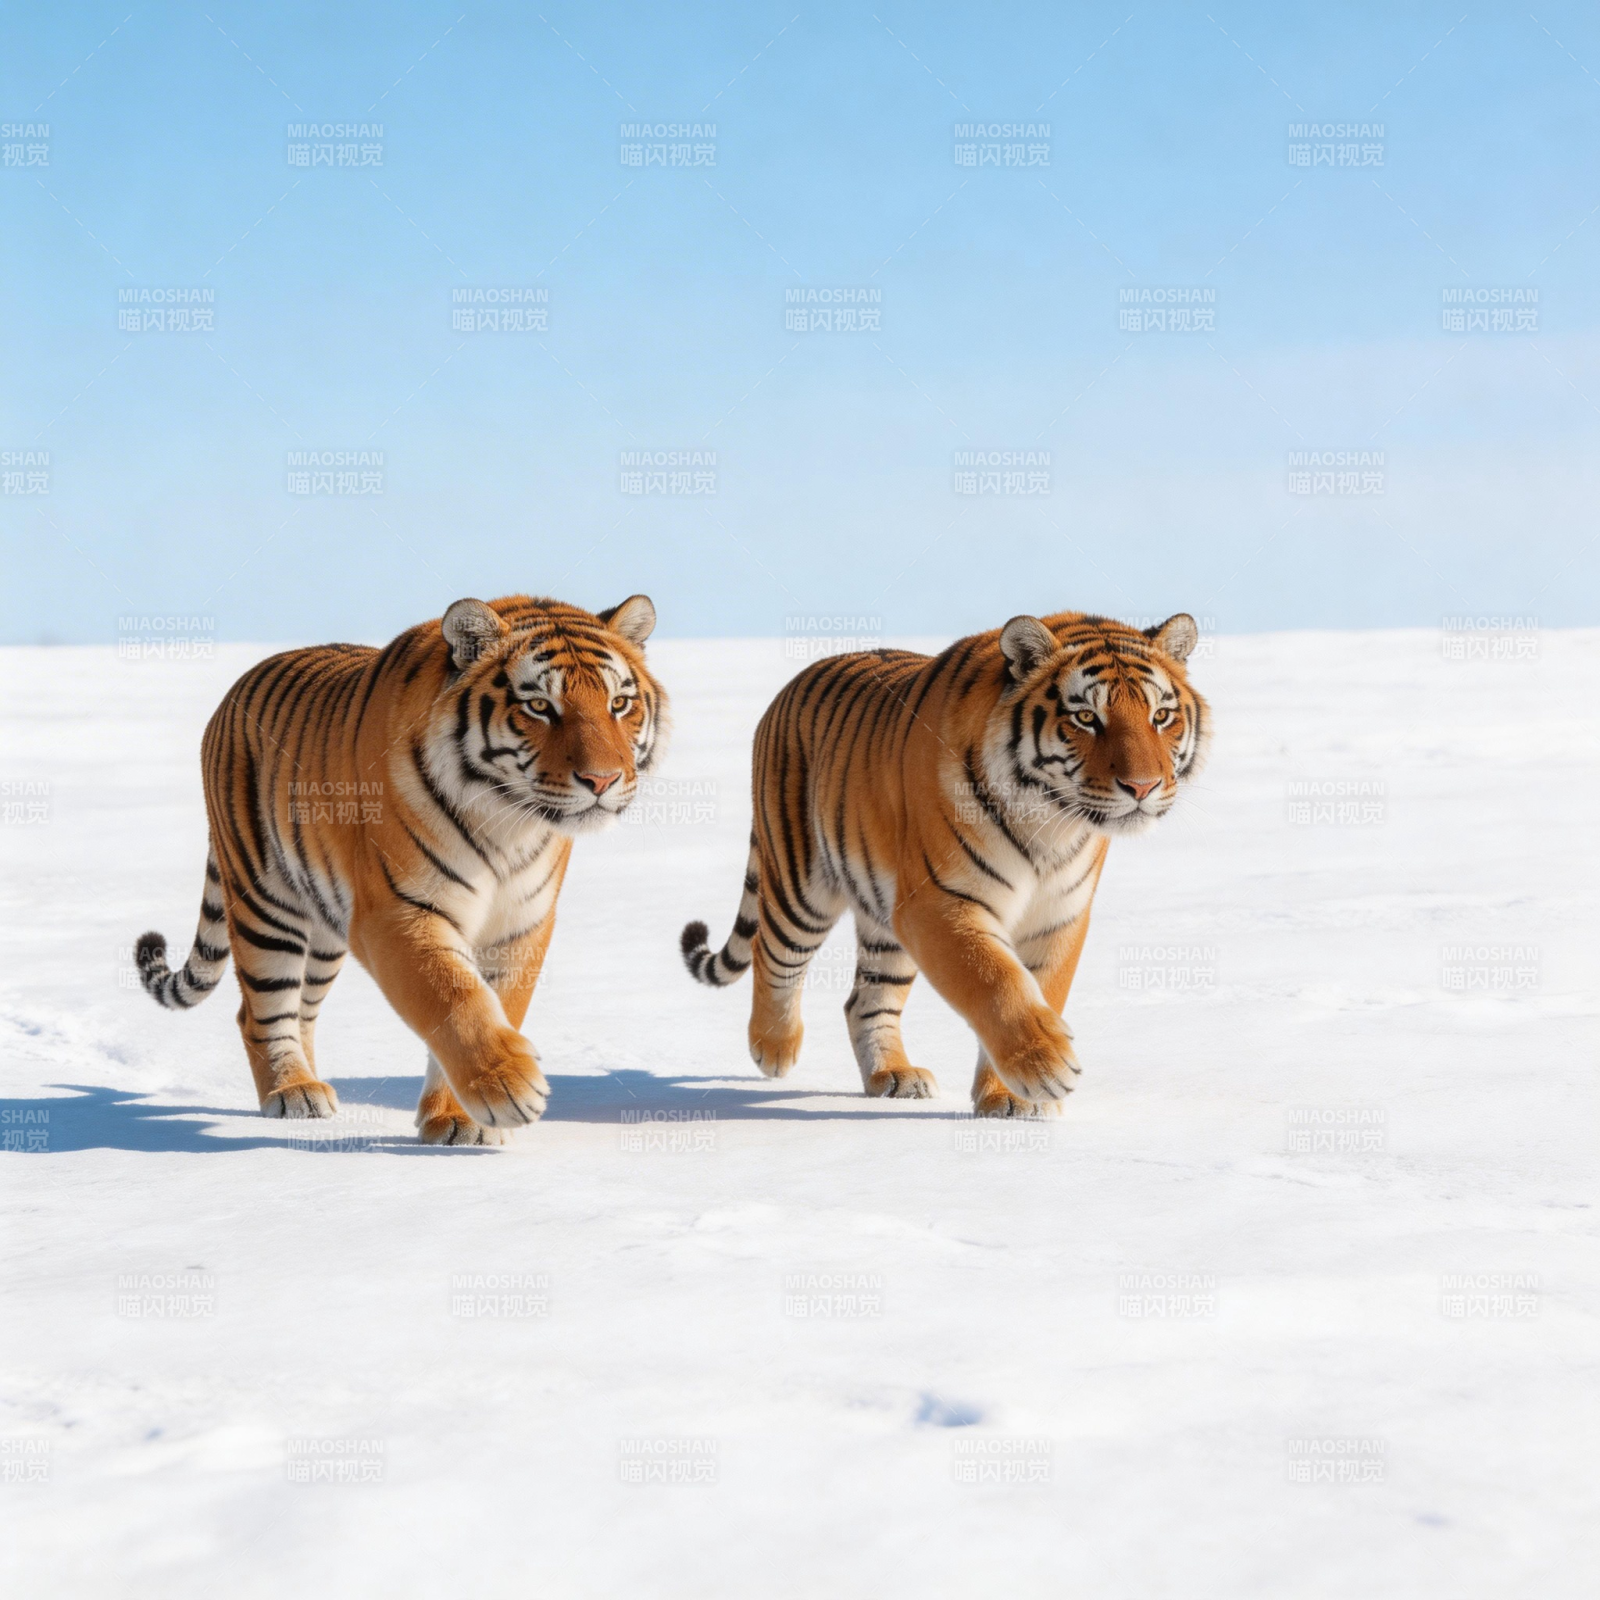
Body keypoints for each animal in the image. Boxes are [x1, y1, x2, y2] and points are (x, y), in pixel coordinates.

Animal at [136, 593, 668, 1145]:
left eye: (618, 704)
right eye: (539, 706)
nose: (602, 780)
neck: (508, 821)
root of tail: (232, 693)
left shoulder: (521, 923)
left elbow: (496, 1003)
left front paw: (459, 1120)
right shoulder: (399, 911)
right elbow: (452, 998)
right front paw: (509, 1087)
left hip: (326, 932)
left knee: (303, 1009)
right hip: (267, 904)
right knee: (259, 1010)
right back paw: (293, 1092)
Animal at [681, 611, 1209, 1117]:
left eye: (1161, 715)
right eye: (1085, 717)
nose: (1143, 787)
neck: (1050, 823)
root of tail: (788, 687)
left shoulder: (1057, 914)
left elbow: (1039, 986)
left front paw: (1014, 1098)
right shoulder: (939, 901)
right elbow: (995, 982)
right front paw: (1046, 1067)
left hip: (884, 917)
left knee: (865, 1000)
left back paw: (893, 1076)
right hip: (801, 885)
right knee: (773, 954)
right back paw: (774, 1047)